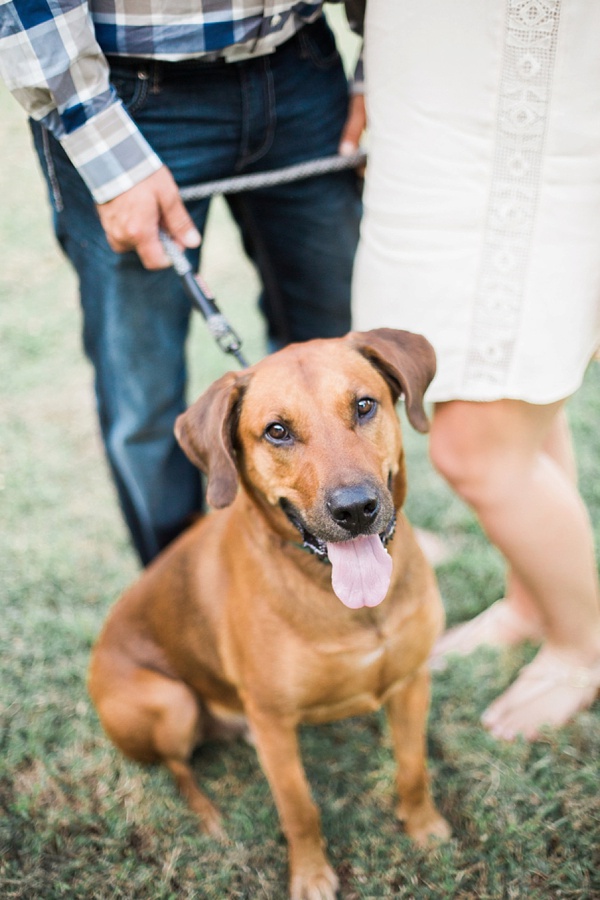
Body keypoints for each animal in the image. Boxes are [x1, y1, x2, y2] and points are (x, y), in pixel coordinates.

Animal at [88, 326, 450, 896]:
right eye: (277, 431)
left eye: (364, 405)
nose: (355, 509)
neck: (343, 600)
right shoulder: (273, 723)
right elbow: (299, 807)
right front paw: (311, 875)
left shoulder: (412, 681)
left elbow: (413, 767)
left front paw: (424, 827)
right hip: (170, 701)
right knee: (177, 769)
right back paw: (210, 819)